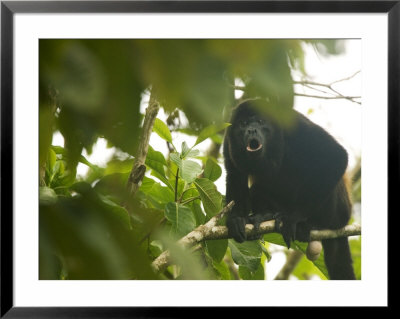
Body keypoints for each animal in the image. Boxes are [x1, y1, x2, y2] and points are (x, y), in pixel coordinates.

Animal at [223, 99, 354, 280]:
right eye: (243, 124)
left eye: (260, 121)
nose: (251, 130)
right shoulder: (228, 138)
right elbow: (235, 175)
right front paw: (236, 219)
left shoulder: (295, 124)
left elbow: (335, 155)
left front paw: (294, 219)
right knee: (256, 189)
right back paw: (266, 215)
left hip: (337, 213)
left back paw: (311, 225)